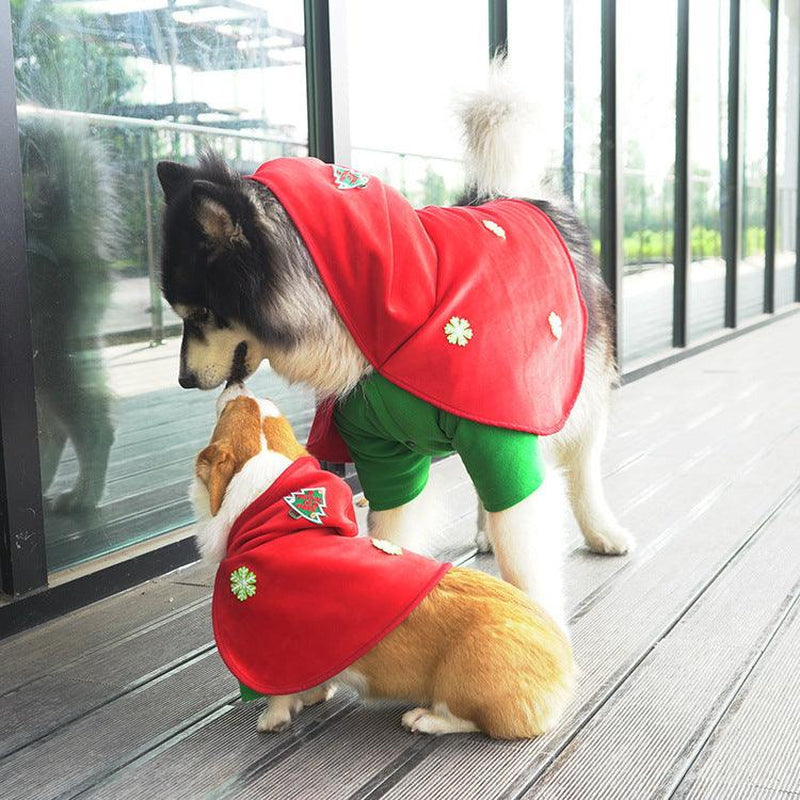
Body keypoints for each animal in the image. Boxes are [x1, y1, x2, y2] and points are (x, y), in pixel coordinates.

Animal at [155, 73, 632, 632]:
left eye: (202, 313)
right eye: (183, 313)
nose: (183, 380)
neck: (379, 332)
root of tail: (514, 194)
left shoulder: (500, 430)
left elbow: (526, 551)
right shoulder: (388, 455)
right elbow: (390, 537)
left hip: (575, 391)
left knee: (583, 469)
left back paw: (603, 532)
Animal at [190, 384, 572, 740]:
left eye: (229, 409)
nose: (237, 380)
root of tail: (564, 666)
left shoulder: (268, 649)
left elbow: (277, 697)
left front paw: (272, 720)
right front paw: (314, 696)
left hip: (464, 673)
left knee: (473, 720)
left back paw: (424, 719)